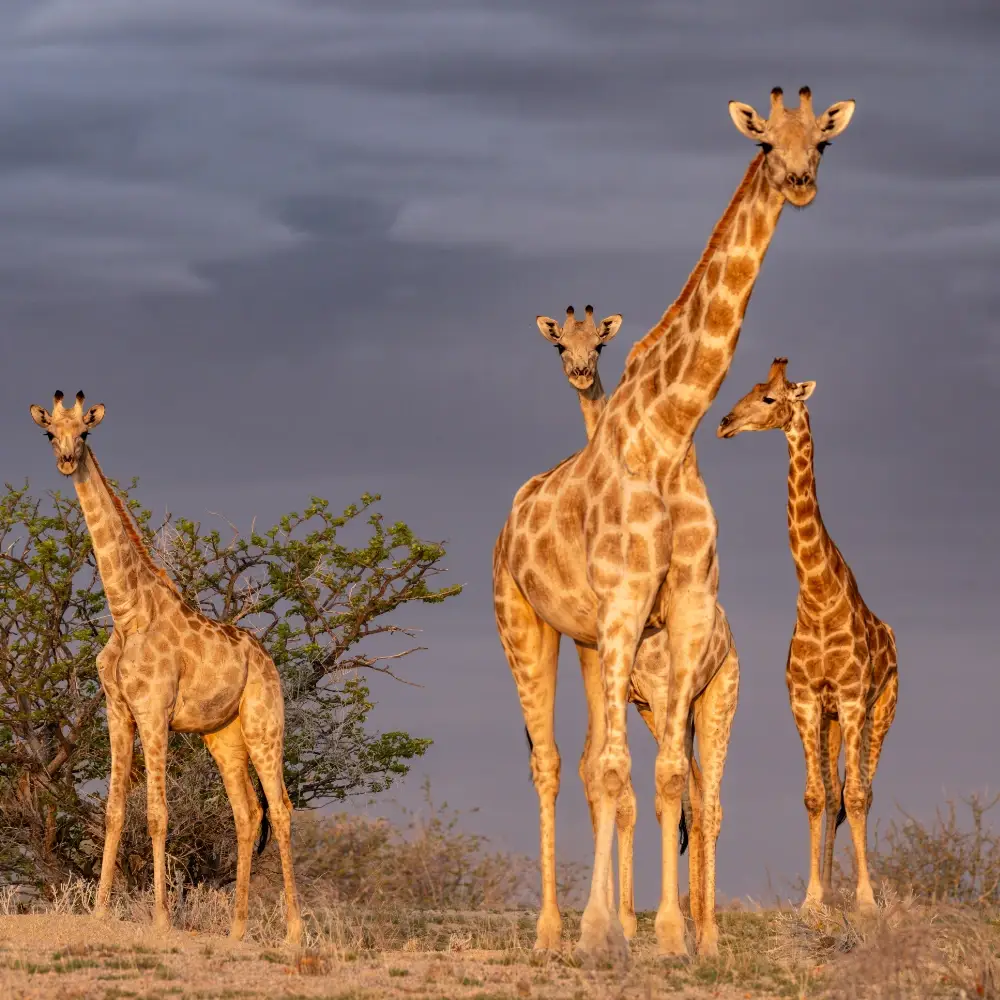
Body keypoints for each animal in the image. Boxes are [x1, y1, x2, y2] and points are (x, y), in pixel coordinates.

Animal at [29, 392, 302, 946]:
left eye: (85, 433)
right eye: (50, 433)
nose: (66, 460)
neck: (127, 611)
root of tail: (268, 660)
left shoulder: (154, 711)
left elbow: (157, 813)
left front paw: (159, 917)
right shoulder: (118, 712)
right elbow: (114, 810)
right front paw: (99, 912)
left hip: (265, 724)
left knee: (282, 810)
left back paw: (293, 932)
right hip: (223, 734)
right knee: (248, 813)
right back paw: (236, 931)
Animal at [533, 304, 740, 951]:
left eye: (599, 343)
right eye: (559, 345)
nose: (578, 371)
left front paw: (625, 923)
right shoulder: (626, 689)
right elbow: (614, 786)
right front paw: (620, 921)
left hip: (716, 693)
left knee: (708, 802)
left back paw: (707, 929)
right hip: (666, 706)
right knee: (691, 792)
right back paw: (694, 921)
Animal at [716, 358, 897, 913]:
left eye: (771, 399)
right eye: (751, 389)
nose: (724, 423)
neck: (817, 596)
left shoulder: (855, 697)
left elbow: (857, 795)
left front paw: (864, 901)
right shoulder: (804, 698)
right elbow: (816, 796)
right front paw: (815, 900)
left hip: (881, 710)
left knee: (864, 789)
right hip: (833, 719)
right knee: (835, 791)